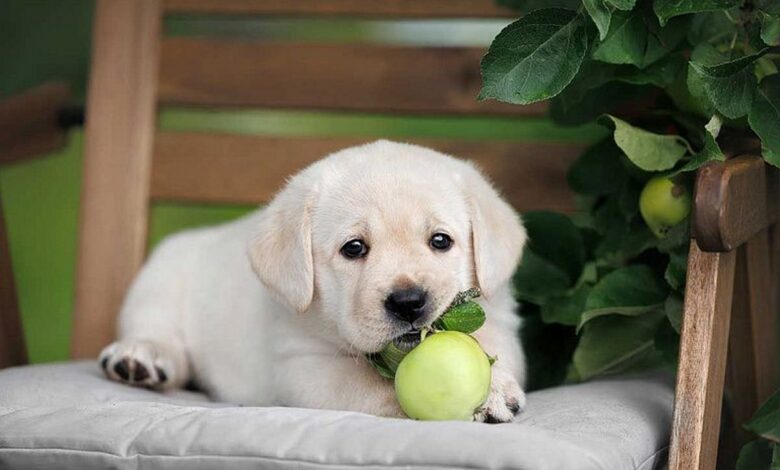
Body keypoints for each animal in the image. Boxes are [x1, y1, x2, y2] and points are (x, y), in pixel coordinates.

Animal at [99, 140, 527, 423]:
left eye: (441, 241)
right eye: (354, 248)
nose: (408, 302)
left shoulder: (500, 325)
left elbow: (490, 348)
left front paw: (492, 390)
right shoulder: (304, 367)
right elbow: (373, 386)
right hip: (160, 278)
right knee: (158, 331)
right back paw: (140, 357)